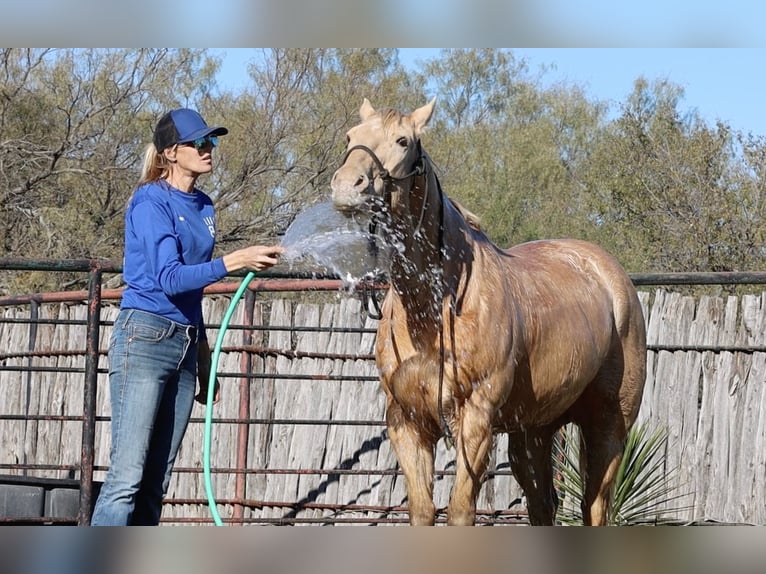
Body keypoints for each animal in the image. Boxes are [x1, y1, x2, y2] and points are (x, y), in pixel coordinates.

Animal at [330, 98, 647, 526]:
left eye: (403, 141)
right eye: (351, 137)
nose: (348, 186)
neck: (435, 308)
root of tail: (609, 274)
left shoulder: (476, 421)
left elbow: (461, 510)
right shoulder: (407, 422)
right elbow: (422, 509)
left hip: (609, 425)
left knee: (595, 507)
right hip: (534, 432)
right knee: (543, 504)